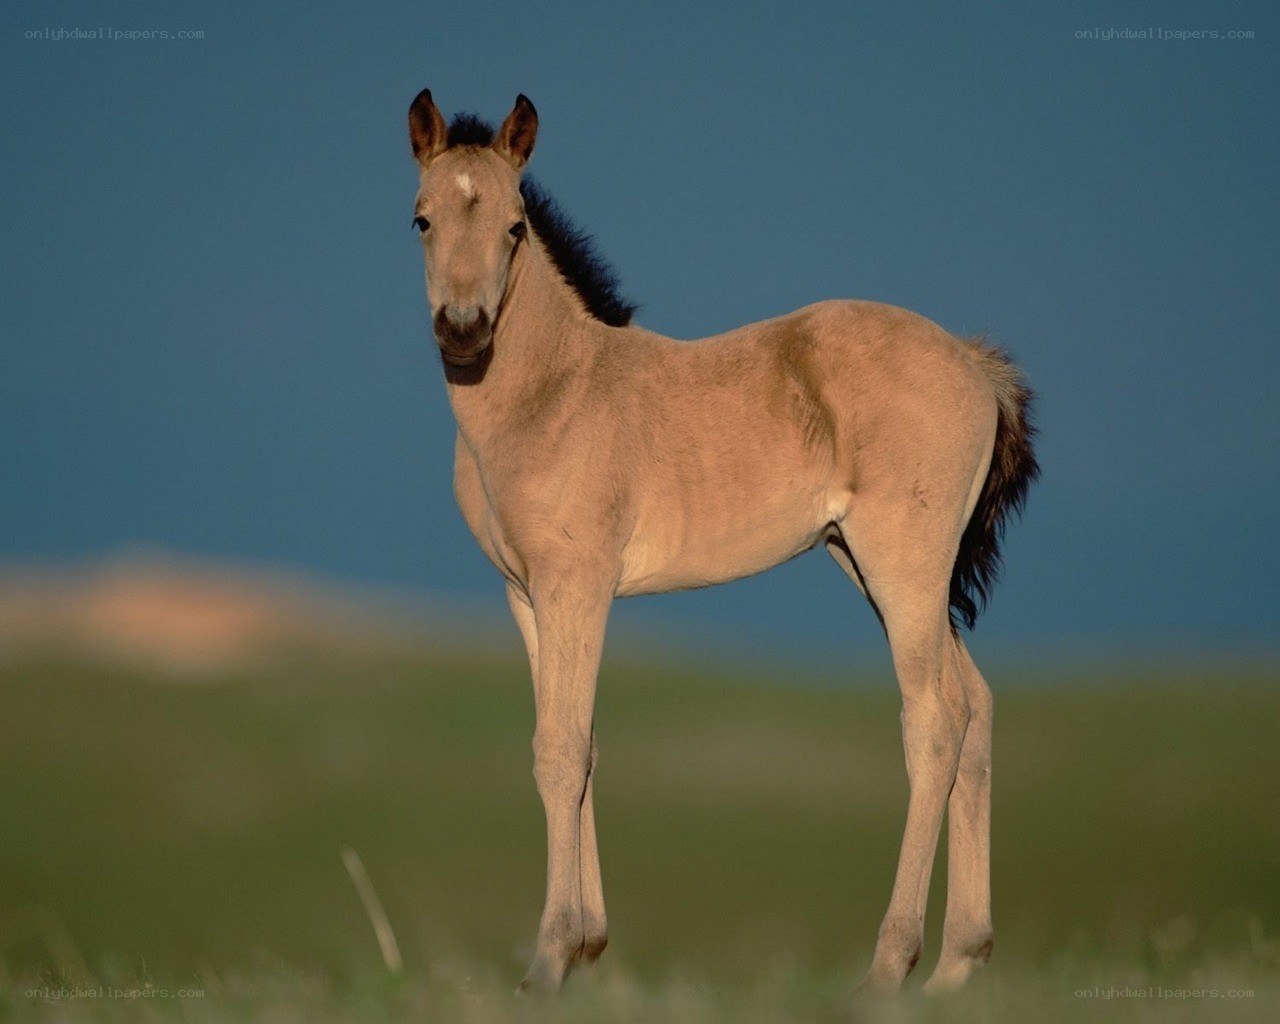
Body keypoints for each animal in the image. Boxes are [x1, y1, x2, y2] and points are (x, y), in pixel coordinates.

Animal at [405, 90, 1037, 995]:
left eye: (515, 226)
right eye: (420, 219)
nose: (462, 330)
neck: (555, 391)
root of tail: (976, 364)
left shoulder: (577, 583)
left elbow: (559, 749)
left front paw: (550, 959)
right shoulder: (526, 594)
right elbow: (579, 742)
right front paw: (589, 947)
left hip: (903, 565)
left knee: (935, 720)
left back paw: (889, 966)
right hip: (873, 566)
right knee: (977, 707)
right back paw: (957, 965)